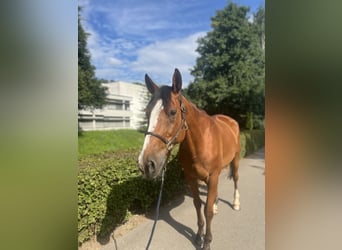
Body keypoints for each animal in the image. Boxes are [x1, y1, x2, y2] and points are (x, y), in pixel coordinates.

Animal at [138, 68, 240, 250]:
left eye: (173, 112)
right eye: (147, 113)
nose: (146, 164)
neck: (201, 142)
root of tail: (230, 120)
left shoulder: (212, 176)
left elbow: (207, 210)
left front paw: (207, 241)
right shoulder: (191, 178)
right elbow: (198, 205)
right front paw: (199, 236)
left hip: (235, 160)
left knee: (235, 178)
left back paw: (235, 203)